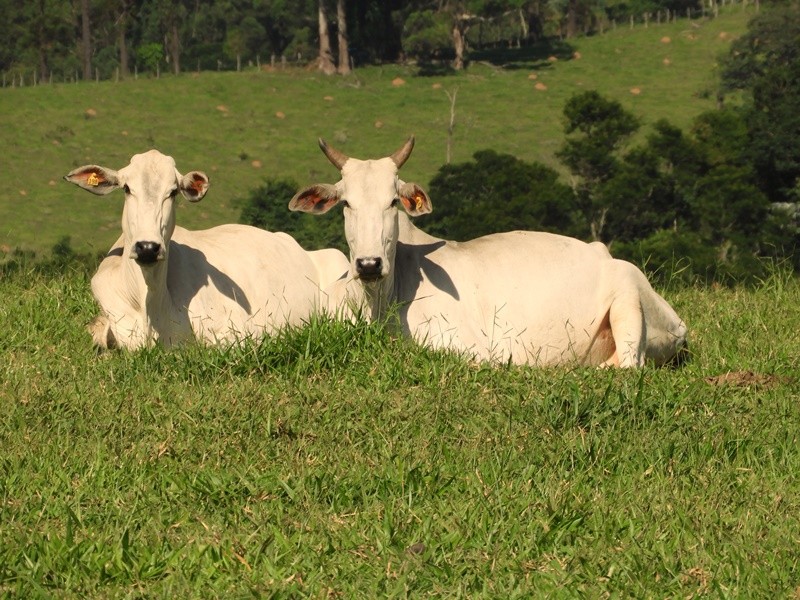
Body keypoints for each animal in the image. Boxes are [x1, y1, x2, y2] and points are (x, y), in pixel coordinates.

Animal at [290, 138, 692, 368]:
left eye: (392, 202)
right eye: (346, 204)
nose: (370, 264)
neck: (377, 305)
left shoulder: (468, 347)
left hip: (628, 300)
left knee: (628, 366)